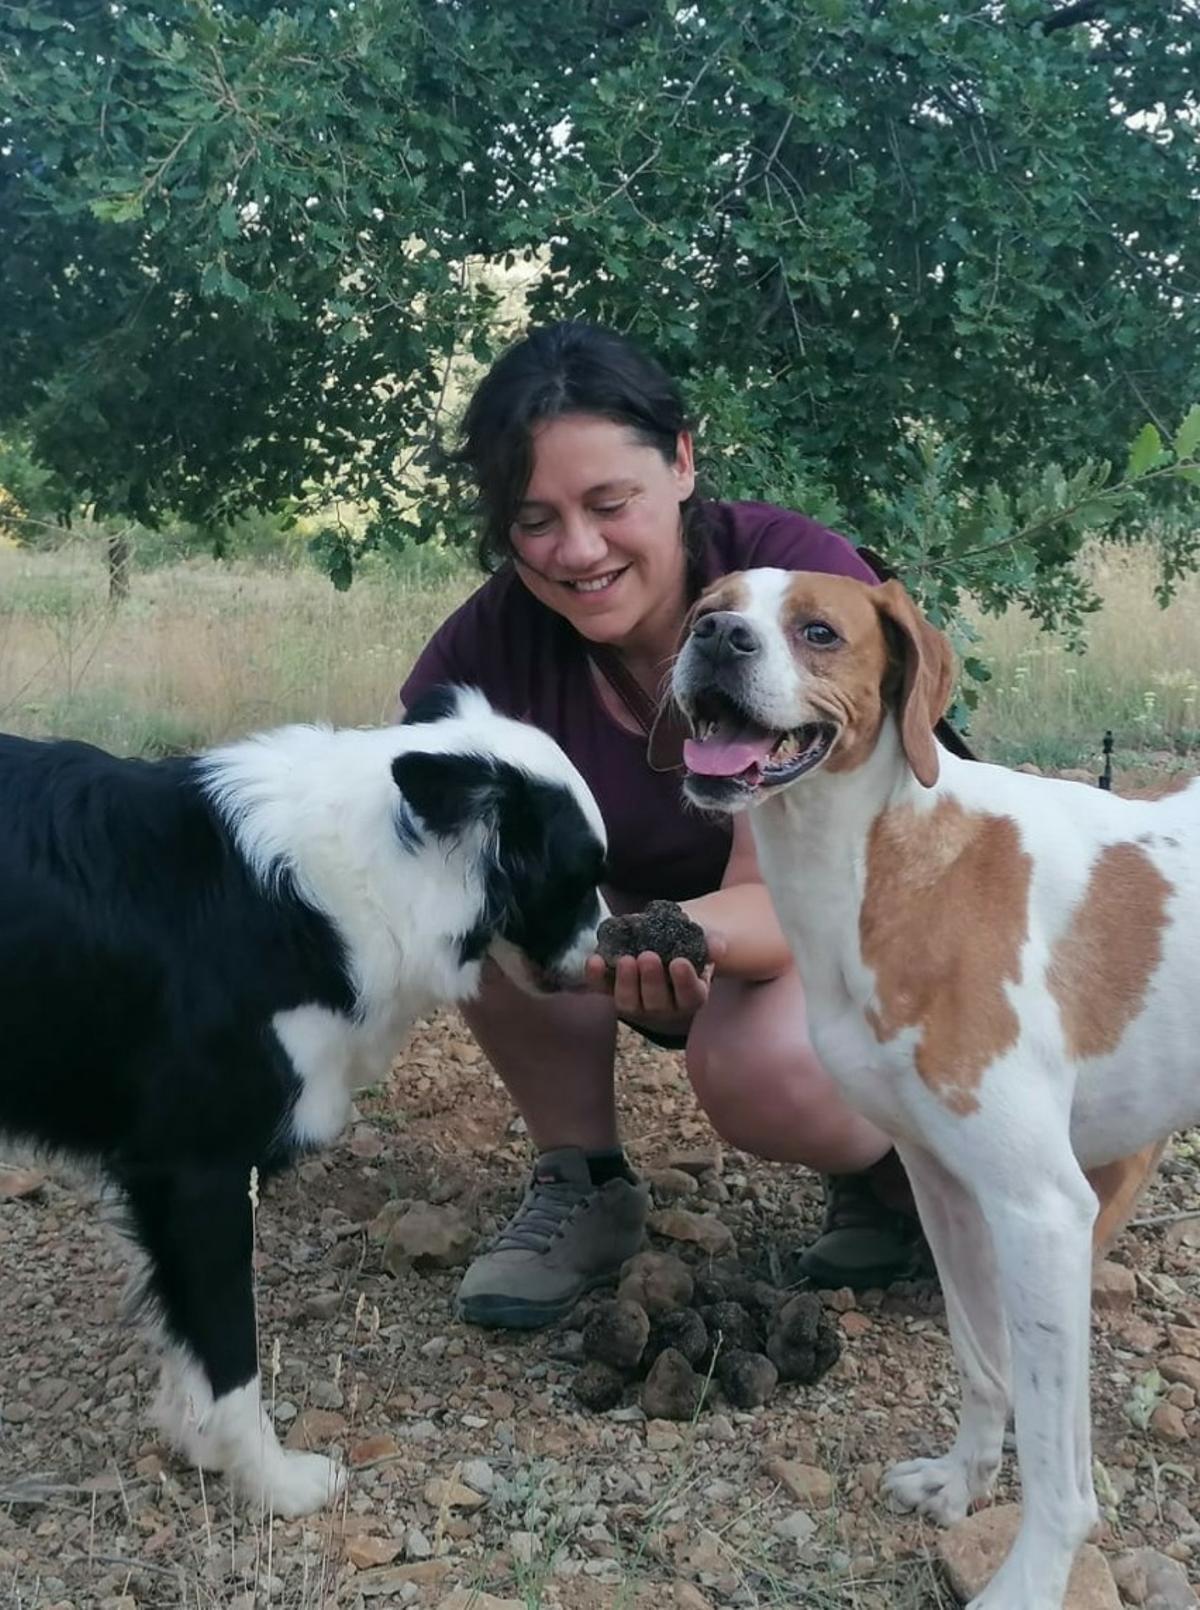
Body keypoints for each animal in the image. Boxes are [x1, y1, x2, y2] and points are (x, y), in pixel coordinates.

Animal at [0, 685, 599, 1513]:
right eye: (582, 876)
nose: (612, 948)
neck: (357, 883)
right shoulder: (196, 1173)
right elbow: (230, 1357)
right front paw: (270, 1481)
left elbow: (187, 1339)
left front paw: (202, 1447)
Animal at [670, 569, 1191, 1610]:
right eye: (707, 607)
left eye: (819, 632)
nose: (717, 639)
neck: (889, 860)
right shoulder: (945, 1186)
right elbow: (983, 1362)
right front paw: (962, 1483)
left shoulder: (1042, 1210)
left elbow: (1058, 1456)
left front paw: (1031, 1578)